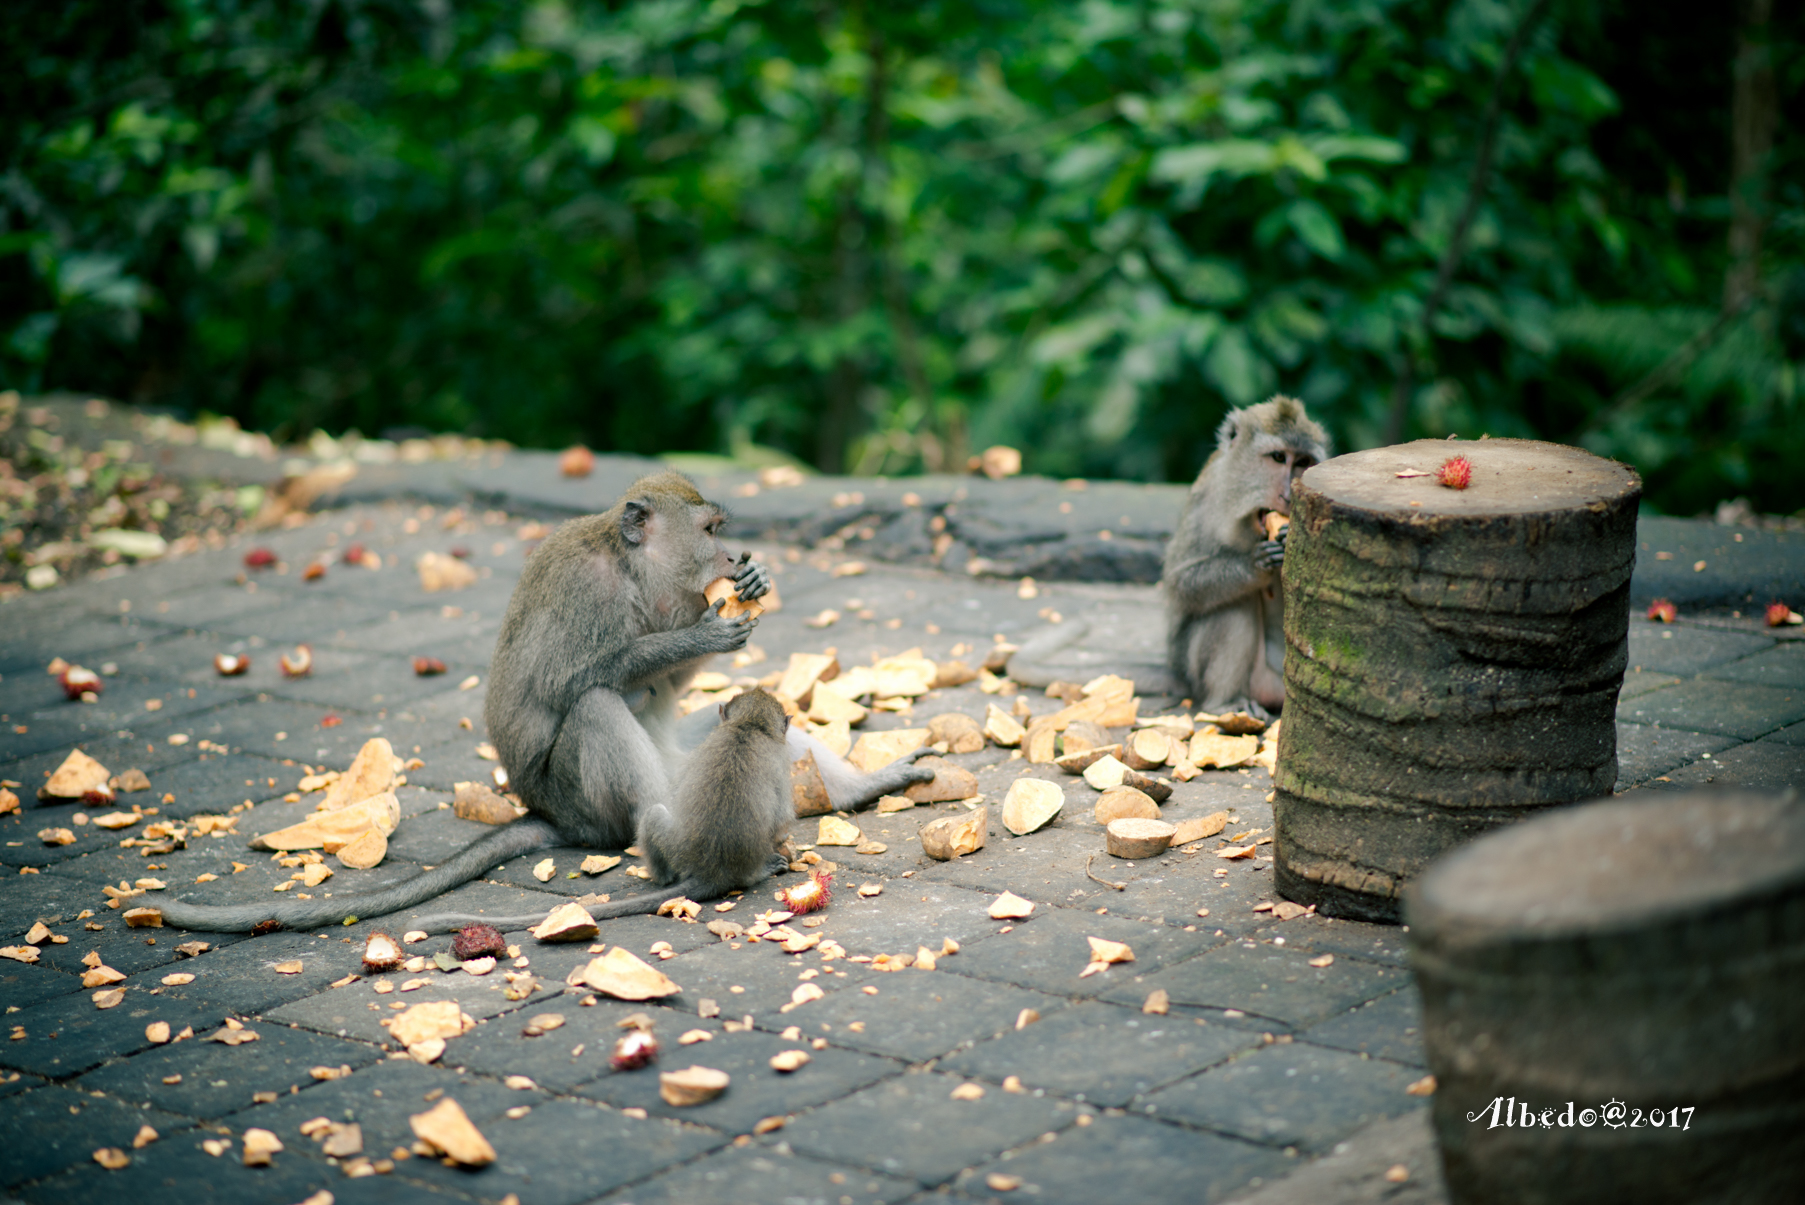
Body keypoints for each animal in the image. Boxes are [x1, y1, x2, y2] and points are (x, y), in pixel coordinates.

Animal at [1155, 395, 1328, 714]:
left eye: (1302, 462)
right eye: (1277, 457)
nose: (1288, 495)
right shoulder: (1206, 495)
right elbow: (1180, 582)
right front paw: (1255, 566)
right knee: (1234, 605)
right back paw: (1226, 702)